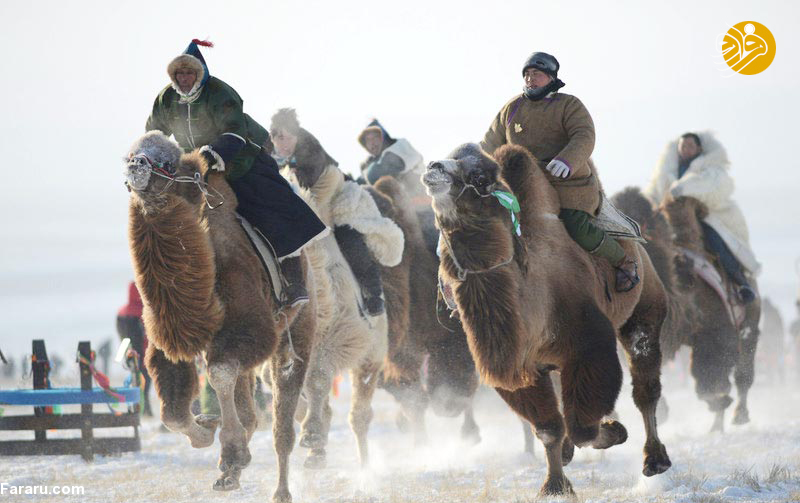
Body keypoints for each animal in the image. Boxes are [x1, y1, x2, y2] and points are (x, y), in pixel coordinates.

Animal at [125, 131, 316, 503]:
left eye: (168, 162)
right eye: (129, 153)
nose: (136, 165)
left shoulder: (250, 329)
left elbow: (220, 373)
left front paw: (231, 454)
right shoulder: (168, 341)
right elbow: (172, 412)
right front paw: (206, 433)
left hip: (297, 332)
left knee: (281, 420)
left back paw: (280, 487)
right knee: (251, 405)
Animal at [422, 144, 672, 498]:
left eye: (480, 177)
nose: (433, 166)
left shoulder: (588, 345)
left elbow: (582, 426)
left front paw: (613, 431)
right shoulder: (522, 367)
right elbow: (548, 428)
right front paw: (554, 484)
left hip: (645, 304)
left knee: (645, 385)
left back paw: (655, 460)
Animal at [612, 187, 764, 432]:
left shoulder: (716, 331)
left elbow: (710, 379)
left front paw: (720, 403)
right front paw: (662, 411)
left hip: (749, 320)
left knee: (744, 370)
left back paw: (737, 416)